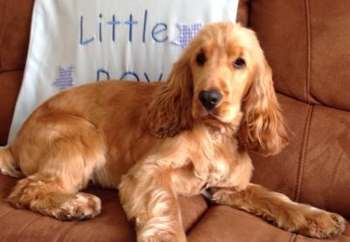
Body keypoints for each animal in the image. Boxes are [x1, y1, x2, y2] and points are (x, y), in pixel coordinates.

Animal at [0, 22, 346, 240]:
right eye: (200, 58)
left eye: (239, 62)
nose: (208, 98)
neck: (215, 136)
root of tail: (14, 143)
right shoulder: (148, 172)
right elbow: (166, 209)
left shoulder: (225, 187)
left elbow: (272, 196)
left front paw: (317, 217)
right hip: (82, 135)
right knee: (27, 189)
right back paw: (76, 204)